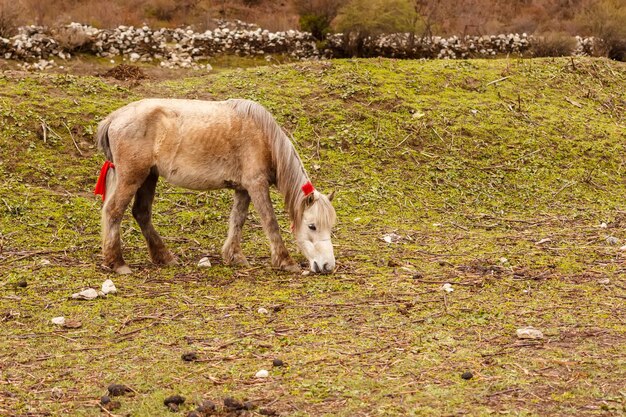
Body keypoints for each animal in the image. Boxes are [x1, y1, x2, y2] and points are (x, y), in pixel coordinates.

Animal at [93, 99, 334, 274]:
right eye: (312, 226)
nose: (327, 266)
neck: (262, 137)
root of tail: (114, 118)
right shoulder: (256, 185)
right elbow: (270, 222)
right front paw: (285, 261)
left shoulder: (243, 189)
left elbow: (238, 220)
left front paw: (234, 256)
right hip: (132, 178)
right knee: (114, 211)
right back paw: (118, 263)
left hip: (149, 177)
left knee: (141, 213)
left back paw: (164, 257)